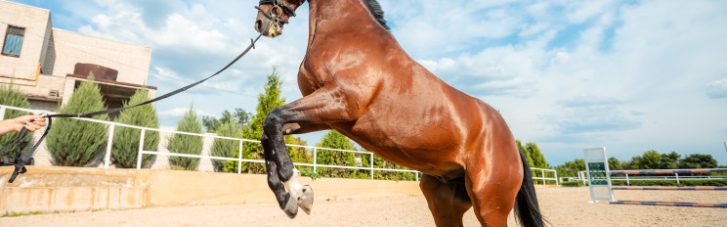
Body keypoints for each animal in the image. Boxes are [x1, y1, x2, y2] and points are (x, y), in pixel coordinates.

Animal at [253, 0, 544, 226]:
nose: (261, 20)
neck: (346, 32)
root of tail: (513, 146)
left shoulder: (339, 102)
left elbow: (274, 117)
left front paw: (299, 191)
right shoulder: (329, 116)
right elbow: (269, 130)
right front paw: (287, 200)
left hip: (489, 205)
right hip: (444, 204)